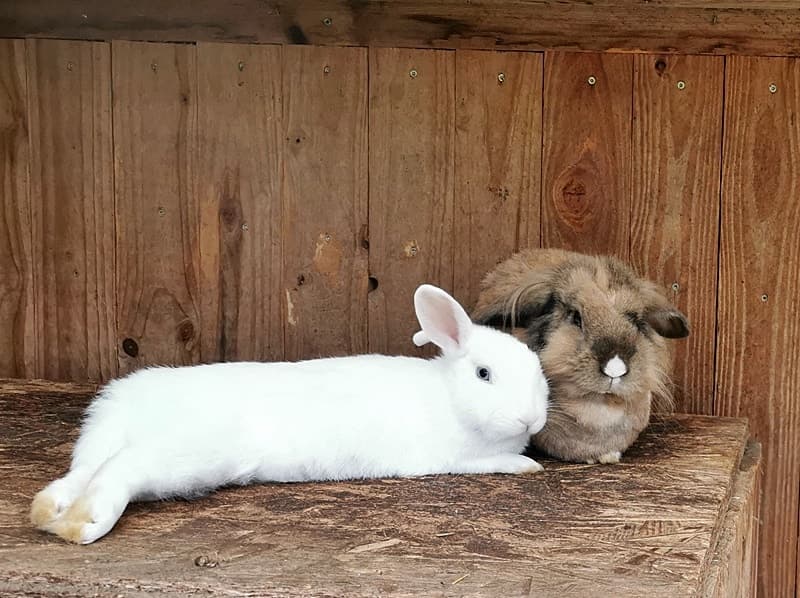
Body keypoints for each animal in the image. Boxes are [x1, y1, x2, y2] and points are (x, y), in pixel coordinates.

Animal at [30, 284, 549, 545]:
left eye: (538, 370)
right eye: (484, 374)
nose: (532, 420)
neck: (448, 396)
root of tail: (127, 410)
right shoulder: (456, 457)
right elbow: (496, 462)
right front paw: (527, 464)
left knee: (82, 473)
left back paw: (49, 512)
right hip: (184, 452)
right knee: (121, 468)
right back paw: (84, 523)